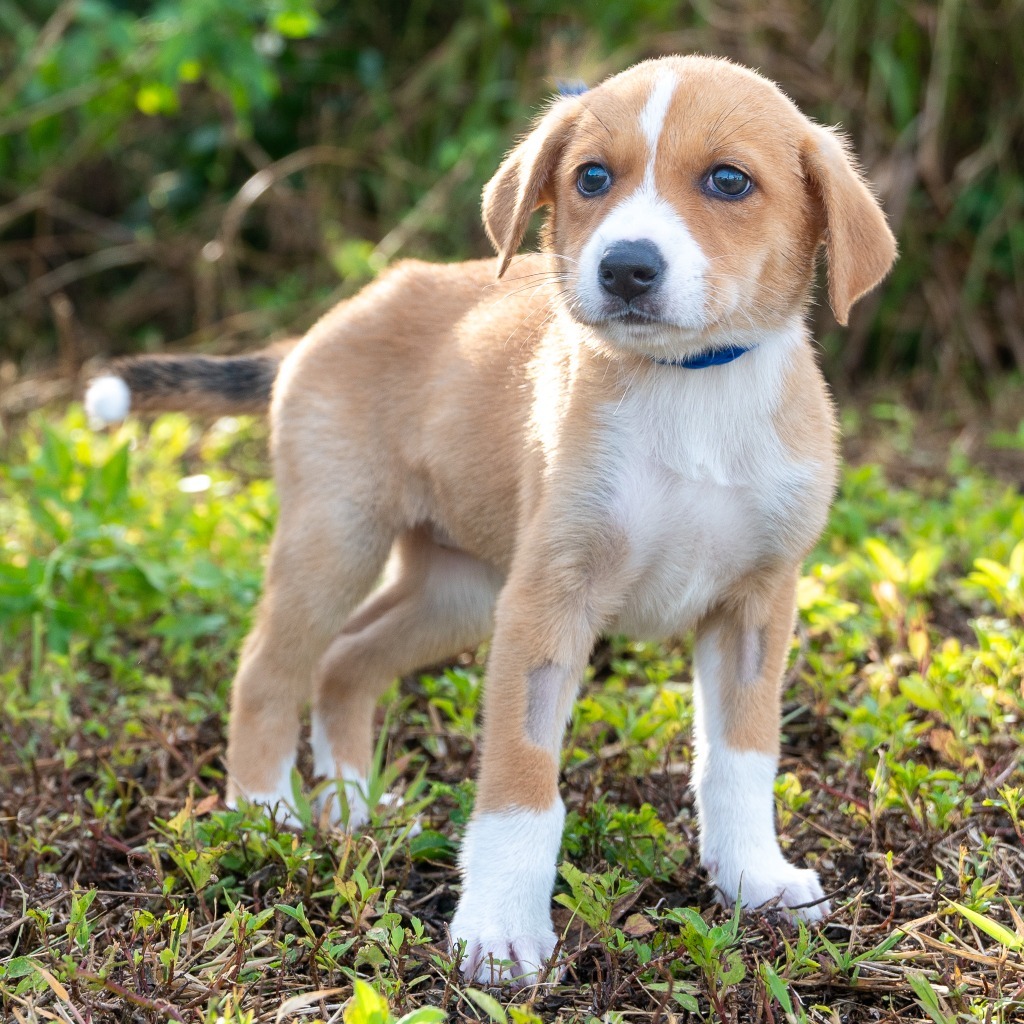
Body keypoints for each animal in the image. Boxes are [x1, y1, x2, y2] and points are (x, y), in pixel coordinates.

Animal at [92, 54, 901, 983]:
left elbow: (742, 760)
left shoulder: (755, 609)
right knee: (267, 671)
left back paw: (355, 806)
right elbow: (522, 785)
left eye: (729, 181)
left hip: (459, 589)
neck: (690, 389)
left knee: (345, 663)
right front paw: (500, 933)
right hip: (339, 541)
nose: (626, 268)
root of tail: (323, 325)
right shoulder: (546, 605)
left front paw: (753, 879)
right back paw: (268, 813)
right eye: (592, 177)